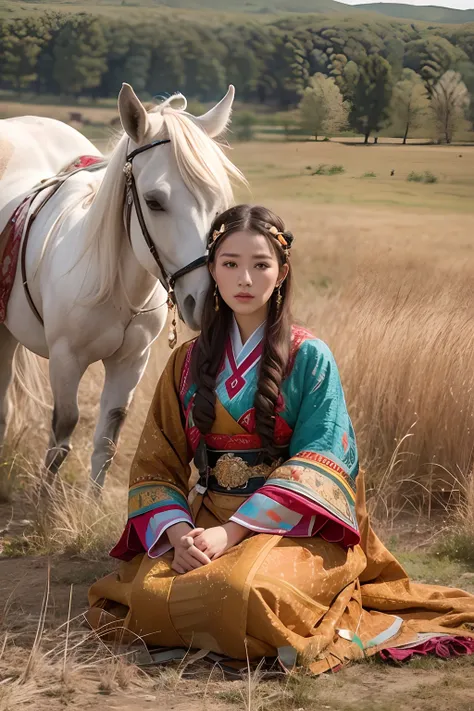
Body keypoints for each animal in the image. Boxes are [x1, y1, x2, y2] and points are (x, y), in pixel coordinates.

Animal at [0, 80, 244, 486]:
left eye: (219, 200)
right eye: (154, 201)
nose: (206, 300)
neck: (116, 288)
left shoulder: (131, 362)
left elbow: (107, 441)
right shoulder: (65, 360)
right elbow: (61, 437)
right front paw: (46, 498)